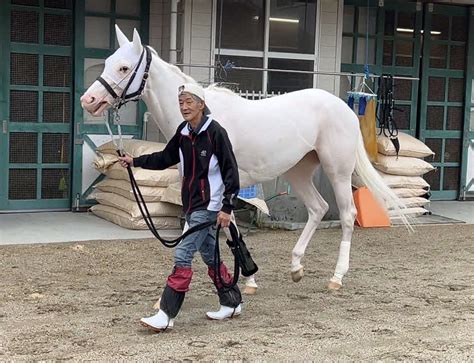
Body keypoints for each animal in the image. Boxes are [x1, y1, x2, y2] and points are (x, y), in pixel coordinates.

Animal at [80, 24, 408, 292]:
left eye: (124, 68)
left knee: (347, 214)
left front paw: (246, 280)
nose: (89, 100)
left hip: (337, 170)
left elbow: (229, 227)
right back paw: (296, 267)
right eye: (108, 62)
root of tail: (342, 106)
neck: (203, 121)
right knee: (318, 208)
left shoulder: (223, 186)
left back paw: (336, 278)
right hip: (298, 171)